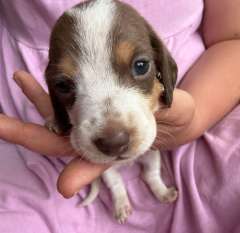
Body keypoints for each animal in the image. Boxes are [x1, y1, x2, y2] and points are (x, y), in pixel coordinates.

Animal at [46, 0, 178, 223]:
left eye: (141, 66)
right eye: (62, 85)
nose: (114, 143)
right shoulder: (104, 169)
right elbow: (116, 184)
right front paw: (54, 121)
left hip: (151, 152)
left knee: (150, 174)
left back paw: (162, 192)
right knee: (117, 183)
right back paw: (121, 204)